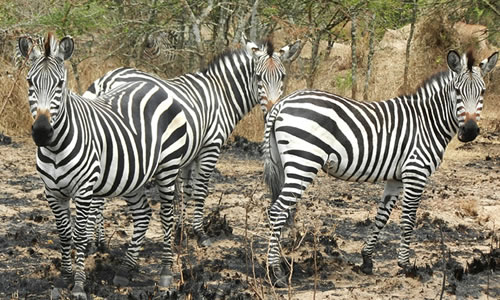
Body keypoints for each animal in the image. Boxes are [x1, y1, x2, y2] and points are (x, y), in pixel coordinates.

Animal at [18, 32, 189, 298]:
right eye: (29, 82)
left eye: (60, 84)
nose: (42, 132)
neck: (55, 148)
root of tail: (155, 83)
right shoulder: (52, 192)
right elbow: (64, 235)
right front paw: (64, 278)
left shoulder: (84, 189)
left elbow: (79, 236)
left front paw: (79, 285)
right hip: (133, 175)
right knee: (143, 214)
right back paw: (125, 270)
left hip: (168, 167)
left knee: (166, 216)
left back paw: (165, 275)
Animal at [83, 36, 300, 250]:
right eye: (258, 77)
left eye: (282, 76)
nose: (271, 112)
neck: (221, 94)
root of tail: (105, 81)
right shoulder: (211, 146)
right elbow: (200, 189)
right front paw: (200, 233)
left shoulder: (189, 152)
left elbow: (186, 191)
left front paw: (180, 232)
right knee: (98, 199)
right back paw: (96, 244)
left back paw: (97, 242)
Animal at [262, 49, 496, 286]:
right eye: (457, 91)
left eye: (483, 92)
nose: (470, 131)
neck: (427, 122)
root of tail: (281, 104)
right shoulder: (416, 172)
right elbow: (408, 220)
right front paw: (405, 266)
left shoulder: (396, 177)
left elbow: (382, 216)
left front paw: (367, 260)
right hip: (304, 162)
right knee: (277, 210)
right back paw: (276, 273)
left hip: (285, 163)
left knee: (278, 210)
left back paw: (281, 263)